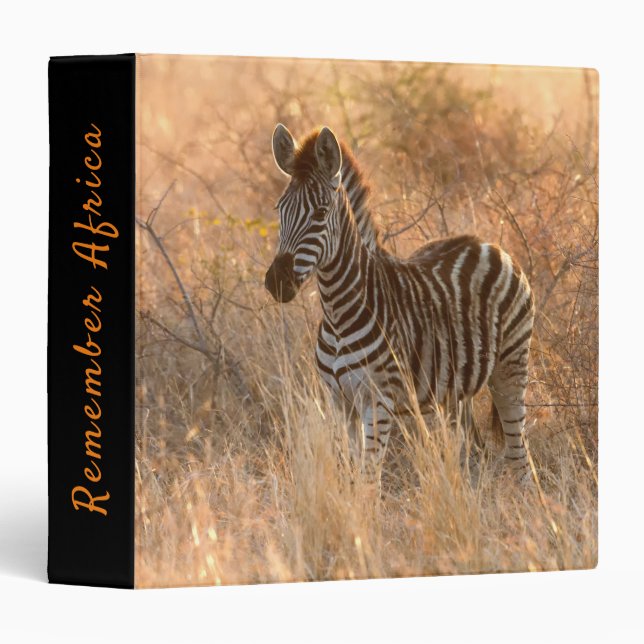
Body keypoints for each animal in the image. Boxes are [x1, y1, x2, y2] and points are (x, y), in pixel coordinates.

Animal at [265, 124, 535, 485]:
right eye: (279, 210)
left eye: (320, 214)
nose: (276, 282)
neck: (337, 313)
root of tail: (489, 244)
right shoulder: (340, 402)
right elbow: (352, 476)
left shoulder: (379, 402)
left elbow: (368, 481)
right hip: (455, 391)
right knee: (472, 452)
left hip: (511, 368)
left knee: (520, 456)